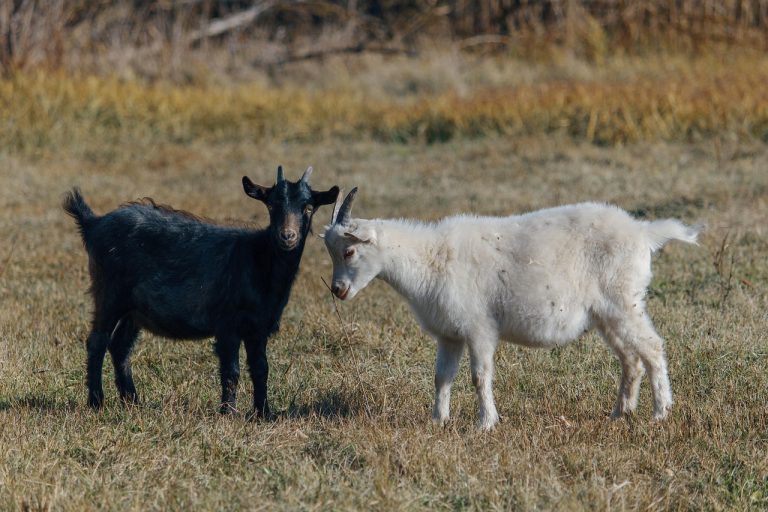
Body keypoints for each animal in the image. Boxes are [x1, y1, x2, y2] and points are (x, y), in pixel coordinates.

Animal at [64, 166, 339, 417]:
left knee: (120, 346)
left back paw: (132, 401)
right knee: (97, 341)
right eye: (271, 206)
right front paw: (228, 413)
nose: (287, 236)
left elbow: (261, 368)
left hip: (134, 309)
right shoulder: (228, 324)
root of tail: (94, 223)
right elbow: (232, 370)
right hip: (109, 293)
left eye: (308, 207)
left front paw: (263, 413)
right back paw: (96, 402)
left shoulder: (258, 327)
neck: (258, 258)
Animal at [323, 189, 700, 430]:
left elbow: (479, 376)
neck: (430, 259)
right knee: (630, 359)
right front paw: (438, 421)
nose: (337, 290)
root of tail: (644, 232)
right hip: (607, 315)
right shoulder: (449, 334)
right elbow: (441, 377)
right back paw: (620, 414)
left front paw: (485, 423)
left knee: (652, 348)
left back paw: (660, 413)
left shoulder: (479, 328)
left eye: (349, 252)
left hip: (624, 303)